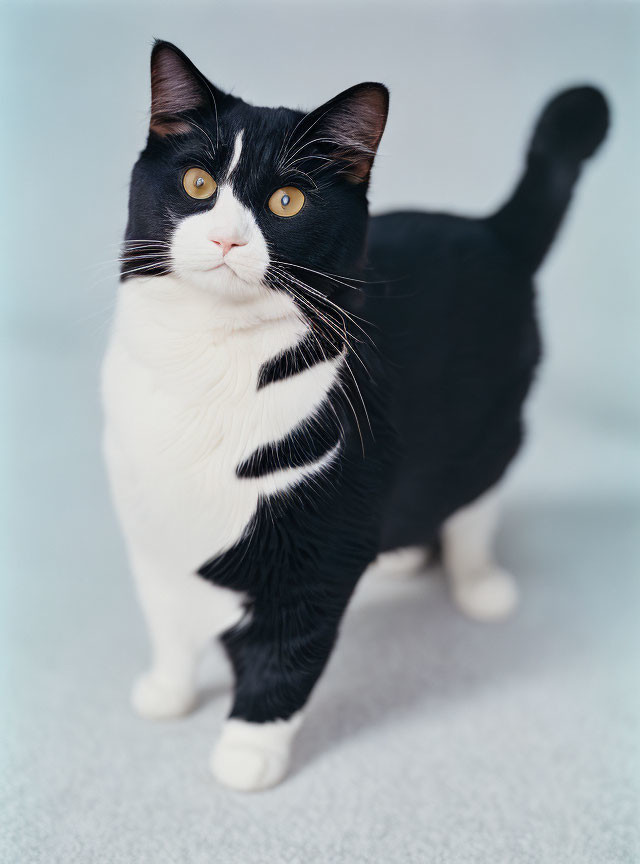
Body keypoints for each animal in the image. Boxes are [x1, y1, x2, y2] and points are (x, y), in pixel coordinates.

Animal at [102, 42, 608, 796]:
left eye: (286, 201)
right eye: (197, 182)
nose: (225, 239)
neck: (208, 358)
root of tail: (491, 231)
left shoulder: (320, 549)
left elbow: (287, 650)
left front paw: (248, 751)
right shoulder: (151, 524)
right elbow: (166, 613)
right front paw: (168, 689)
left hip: (492, 425)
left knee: (476, 500)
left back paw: (480, 582)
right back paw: (401, 554)